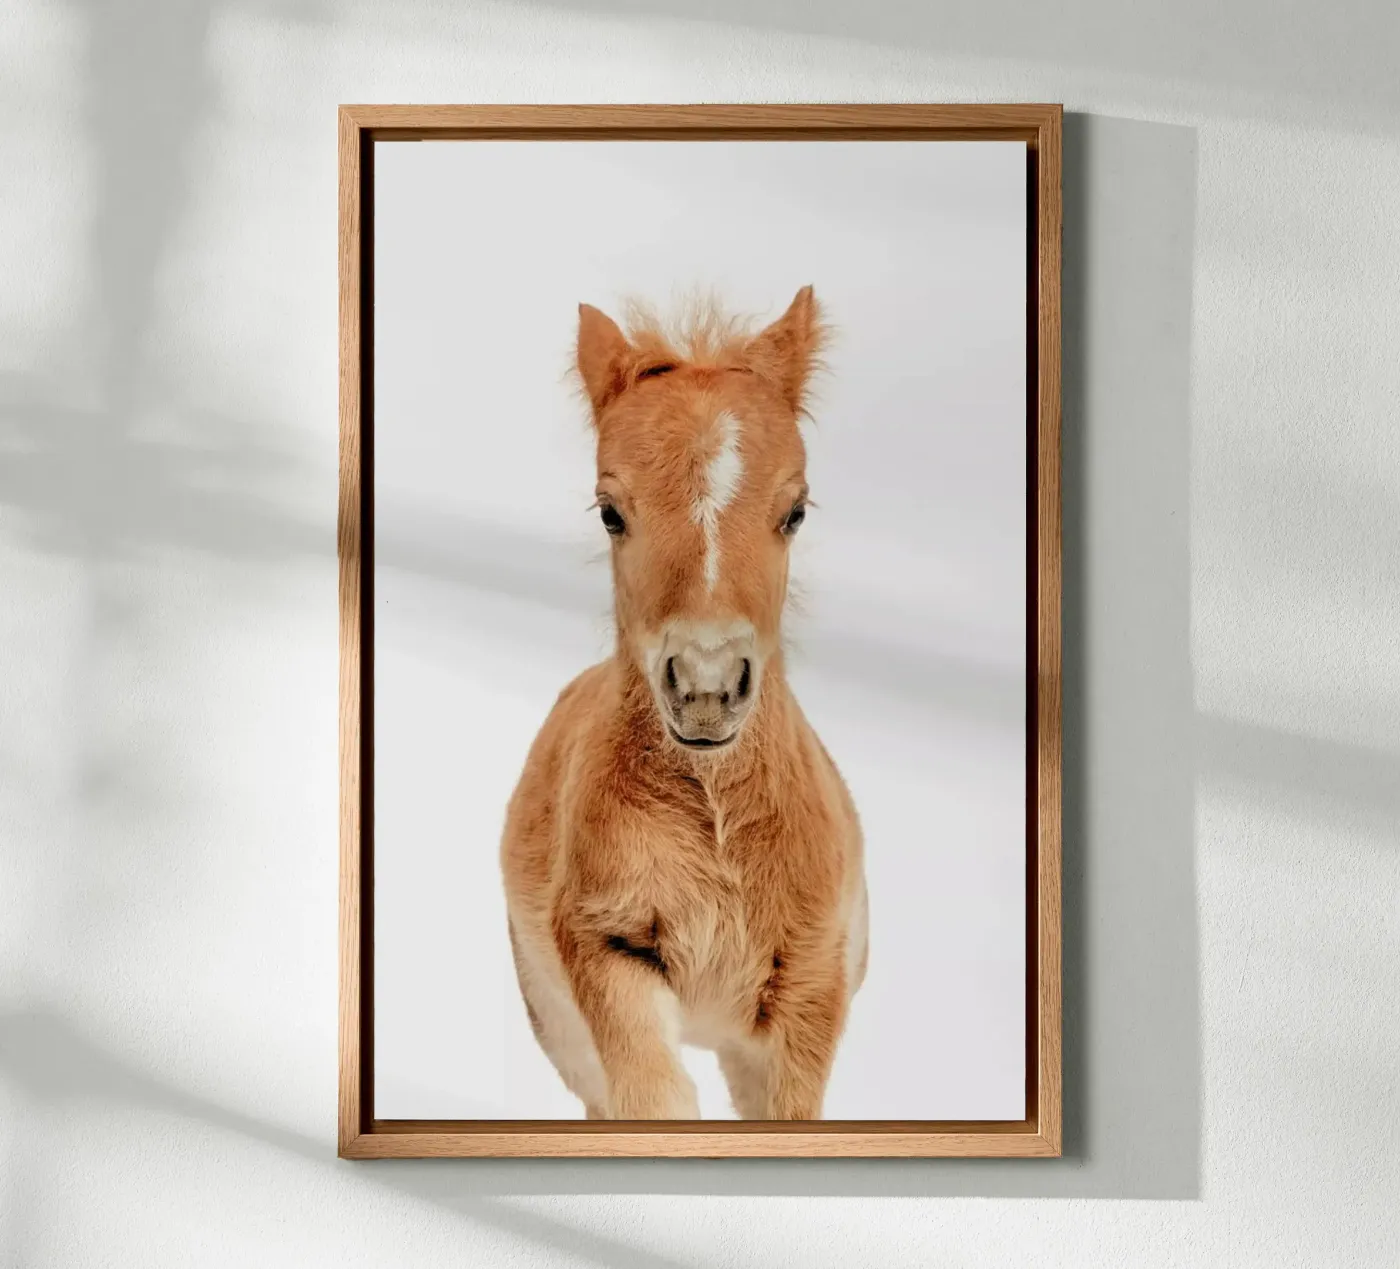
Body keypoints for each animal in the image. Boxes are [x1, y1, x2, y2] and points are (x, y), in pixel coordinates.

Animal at [499, 287, 868, 1120]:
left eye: (796, 510)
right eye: (610, 510)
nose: (705, 687)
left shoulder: (811, 988)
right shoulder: (605, 949)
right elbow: (654, 1103)